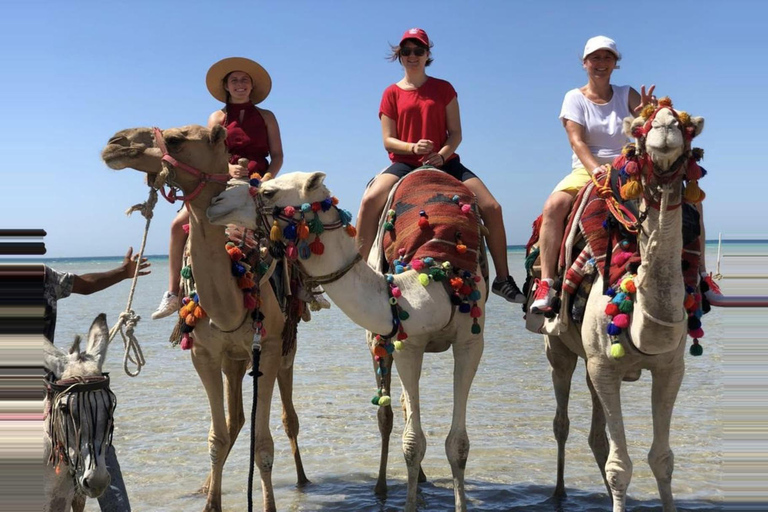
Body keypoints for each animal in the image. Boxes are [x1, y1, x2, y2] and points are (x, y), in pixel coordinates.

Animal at [101, 125, 308, 512]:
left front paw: (269, 504)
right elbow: (217, 435)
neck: (231, 301)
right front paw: (211, 503)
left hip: (285, 347)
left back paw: (303, 479)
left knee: (289, 418)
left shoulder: (268, 349)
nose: (115, 143)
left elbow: (263, 443)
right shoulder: (205, 354)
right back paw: (204, 485)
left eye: (176, 138)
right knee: (235, 418)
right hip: (234, 359)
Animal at [208, 170, 487, 512]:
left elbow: (458, 444)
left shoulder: (471, 342)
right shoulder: (408, 342)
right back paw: (385, 486)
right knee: (389, 415)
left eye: (269, 191)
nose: (216, 201)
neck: (434, 283)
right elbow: (413, 442)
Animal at [540, 101, 705, 512]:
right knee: (562, 421)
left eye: (687, 126)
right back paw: (559, 492)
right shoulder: (604, 367)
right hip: (558, 349)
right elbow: (621, 466)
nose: (665, 127)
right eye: (641, 128)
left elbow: (662, 459)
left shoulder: (670, 368)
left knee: (597, 435)